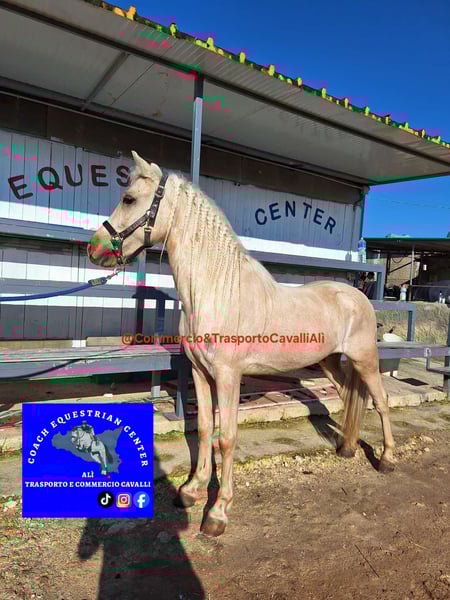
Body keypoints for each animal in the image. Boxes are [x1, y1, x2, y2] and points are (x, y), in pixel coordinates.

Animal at [87, 151, 395, 537]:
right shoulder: (201, 374)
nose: (94, 248)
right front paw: (191, 491)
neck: (214, 289)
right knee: (349, 396)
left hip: (365, 359)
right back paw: (347, 447)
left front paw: (218, 512)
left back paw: (387, 459)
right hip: (330, 361)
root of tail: (358, 296)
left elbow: (227, 436)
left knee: (381, 401)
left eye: (129, 199)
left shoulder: (228, 376)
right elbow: (205, 429)